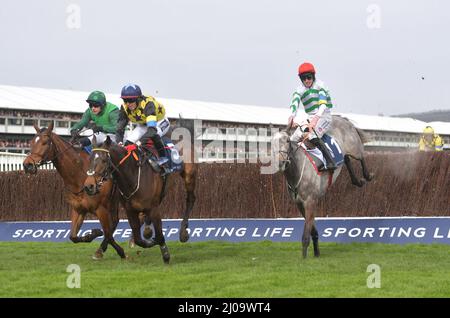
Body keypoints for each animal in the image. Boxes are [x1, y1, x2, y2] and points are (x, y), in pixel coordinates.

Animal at [22, 123, 125, 260]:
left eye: (45, 142)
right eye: (32, 142)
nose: (27, 165)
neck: (80, 175)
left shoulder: (101, 208)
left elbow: (107, 232)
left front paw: (120, 251)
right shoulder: (78, 209)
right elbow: (73, 237)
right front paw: (93, 234)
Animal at [84, 134, 197, 264]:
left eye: (104, 160)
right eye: (89, 159)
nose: (88, 186)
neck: (132, 176)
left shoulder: (153, 209)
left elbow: (159, 234)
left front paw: (166, 255)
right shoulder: (130, 210)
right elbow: (138, 239)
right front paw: (149, 240)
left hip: (189, 176)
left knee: (190, 199)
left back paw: (183, 232)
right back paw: (147, 230)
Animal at [272, 115, 374, 258]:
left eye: (287, 140)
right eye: (272, 143)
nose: (280, 162)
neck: (298, 170)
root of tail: (342, 118)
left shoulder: (310, 201)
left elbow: (305, 235)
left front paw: (304, 258)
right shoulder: (299, 204)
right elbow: (312, 230)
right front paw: (316, 252)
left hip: (354, 147)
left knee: (361, 156)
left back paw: (367, 176)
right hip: (344, 152)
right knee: (346, 159)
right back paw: (357, 181)